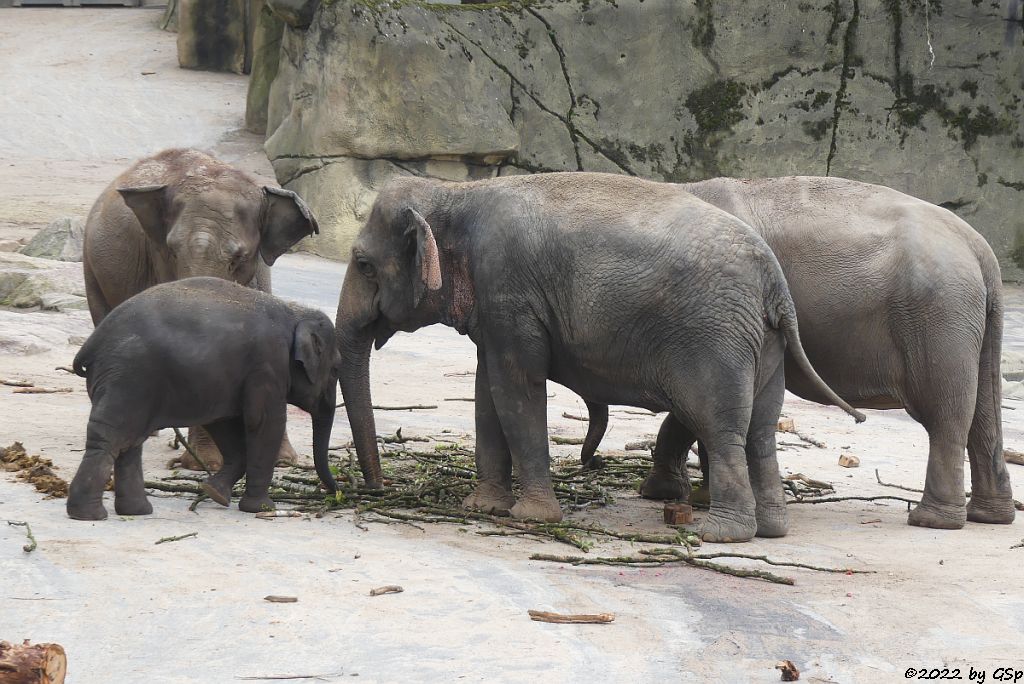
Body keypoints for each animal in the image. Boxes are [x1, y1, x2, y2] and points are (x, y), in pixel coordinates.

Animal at [66, 274, 342, 520]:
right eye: (336, 369)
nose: (338, 492)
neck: (295, 311)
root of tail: (91, 344)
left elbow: (222, 422)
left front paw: (213, 492)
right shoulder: (268, 364)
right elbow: (264, 422)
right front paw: (261, 509)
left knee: (130, 441)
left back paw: (136, 511)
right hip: (129, 376)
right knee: (112, 438)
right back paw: (89, 515)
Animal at [82, 148, 317, 471]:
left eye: (239, 257)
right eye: (172, 250)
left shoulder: (260, 272)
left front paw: (282, 461)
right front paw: (206, 464)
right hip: (92, 268)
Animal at [337, 171, 864, 540]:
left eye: (363, 264)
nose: (376, 488)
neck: (454, 193)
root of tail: (775, 281)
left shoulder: (509, 289)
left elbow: (516, 388)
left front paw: (532, 517)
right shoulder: (497, 306)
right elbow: (488, 392)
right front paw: (483, 508)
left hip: (717, 343)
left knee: (722, 428)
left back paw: (720, 534)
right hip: (765, 345)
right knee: (760, 431)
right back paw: (771, 530)